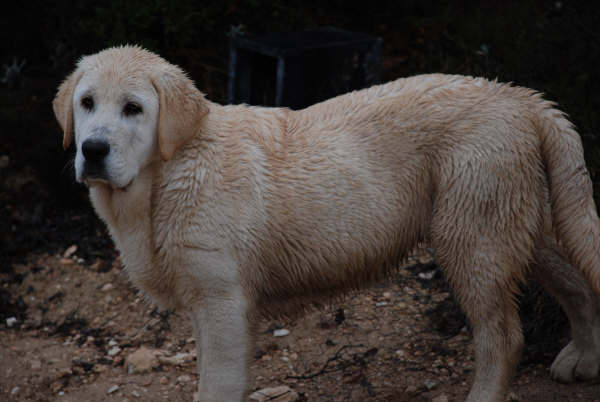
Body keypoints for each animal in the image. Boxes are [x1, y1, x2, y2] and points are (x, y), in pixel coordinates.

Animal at [50, 45, 600, 400]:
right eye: (87, 103)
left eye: (134, 109)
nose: (92, 150)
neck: (170, 171)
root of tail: (521, 98)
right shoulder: (208, 305)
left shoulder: (223, 303)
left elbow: (217, 384)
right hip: (516, 222)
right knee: (577, 284)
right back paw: (584, 359)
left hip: (472, 236)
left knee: (503, 337)